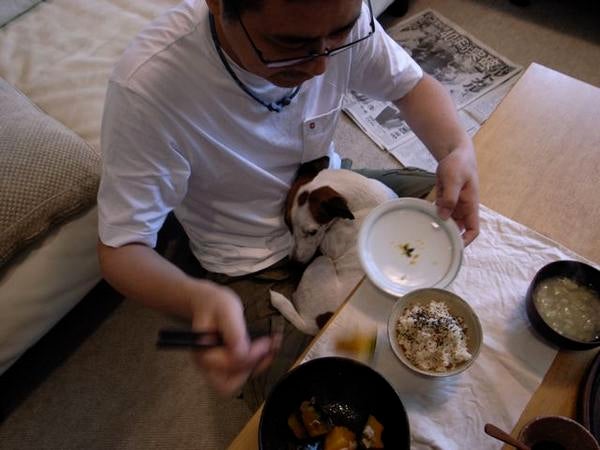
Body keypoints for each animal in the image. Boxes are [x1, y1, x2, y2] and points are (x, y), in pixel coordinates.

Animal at [270, 156, 397, 335]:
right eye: (288, 224)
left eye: (313, 232)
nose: (293, 264)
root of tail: (316, 324)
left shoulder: (330, 247)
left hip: (322, 262)